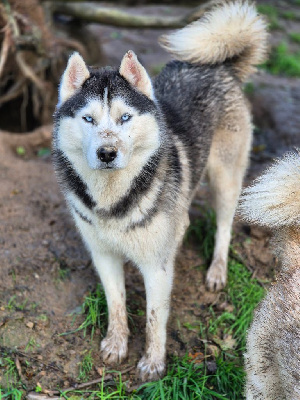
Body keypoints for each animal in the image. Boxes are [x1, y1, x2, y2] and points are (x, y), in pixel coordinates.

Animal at [52, 0, 268, 382]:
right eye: (88, 119)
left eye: (124, 118)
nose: (107, 153)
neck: (114, 201)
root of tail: (220, 66)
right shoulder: (103, 256)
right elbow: (117, 303)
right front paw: (116, 344)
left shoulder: (156, 267)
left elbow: (155, 318)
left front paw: (153, 364)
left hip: (225, 180)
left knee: (224, 227)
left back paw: (217, 271)